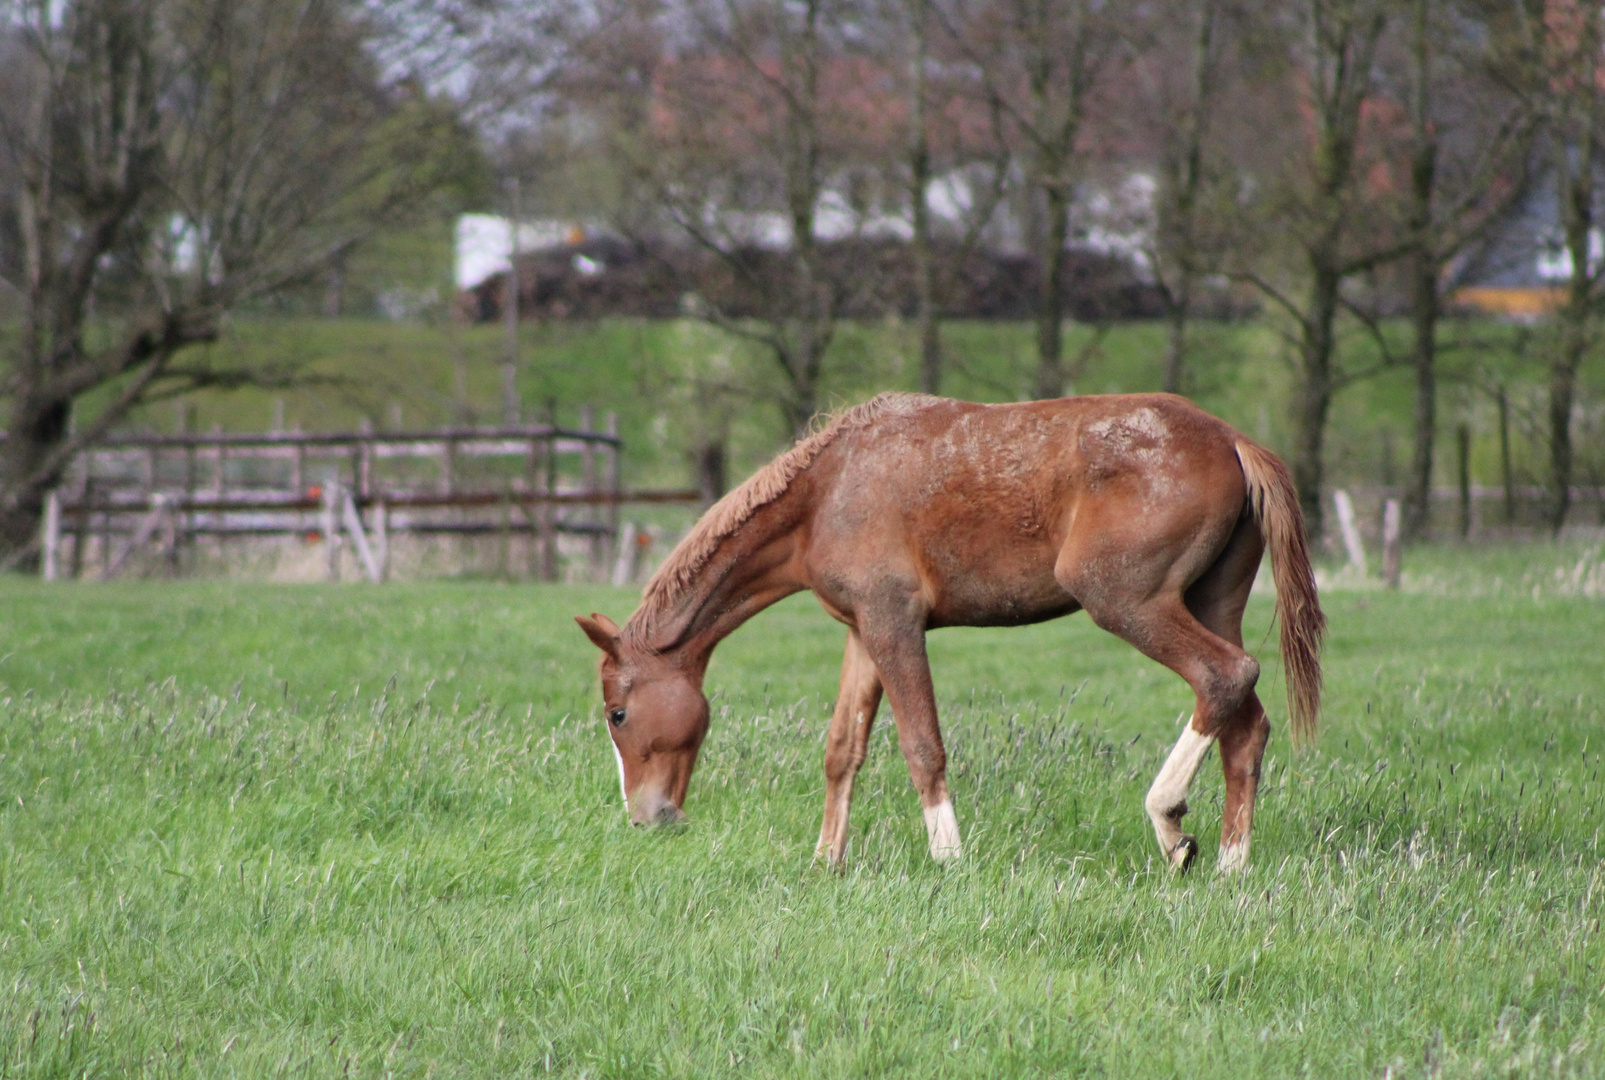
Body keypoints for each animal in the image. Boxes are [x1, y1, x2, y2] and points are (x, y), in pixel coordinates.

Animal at [574, 391, 1316, 872]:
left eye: (617, 713)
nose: (646, 816)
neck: (826, 491)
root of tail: (1232, 440)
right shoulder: (862, 632)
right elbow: (842, 749)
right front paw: (826, 860)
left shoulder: (895, 624)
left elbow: (922, 745)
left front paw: (949, 858)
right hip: (1210, 604)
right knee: (1245, 724)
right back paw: (1230, 867)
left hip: (1126, 601)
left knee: (1223, 677)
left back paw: (1169, 822)